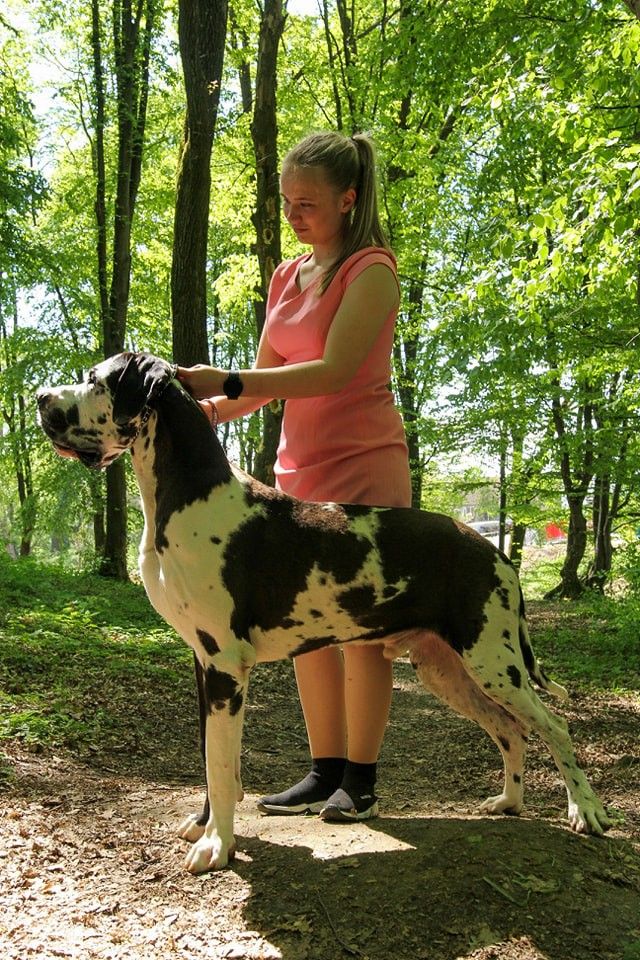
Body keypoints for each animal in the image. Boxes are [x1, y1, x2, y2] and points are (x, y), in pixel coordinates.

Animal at [37, 352, 610, 873]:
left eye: (95, 380)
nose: (41, 398)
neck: (187, 498)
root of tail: (496, 551)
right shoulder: (202, 663)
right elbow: (210, 758)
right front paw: (205, 826)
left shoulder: (224, 666)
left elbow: (219, 765)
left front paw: (218, 846)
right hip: (448, 669)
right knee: (511, 729)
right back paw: (509, 802)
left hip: (494, 661)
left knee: (556, 727)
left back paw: (587, 811)